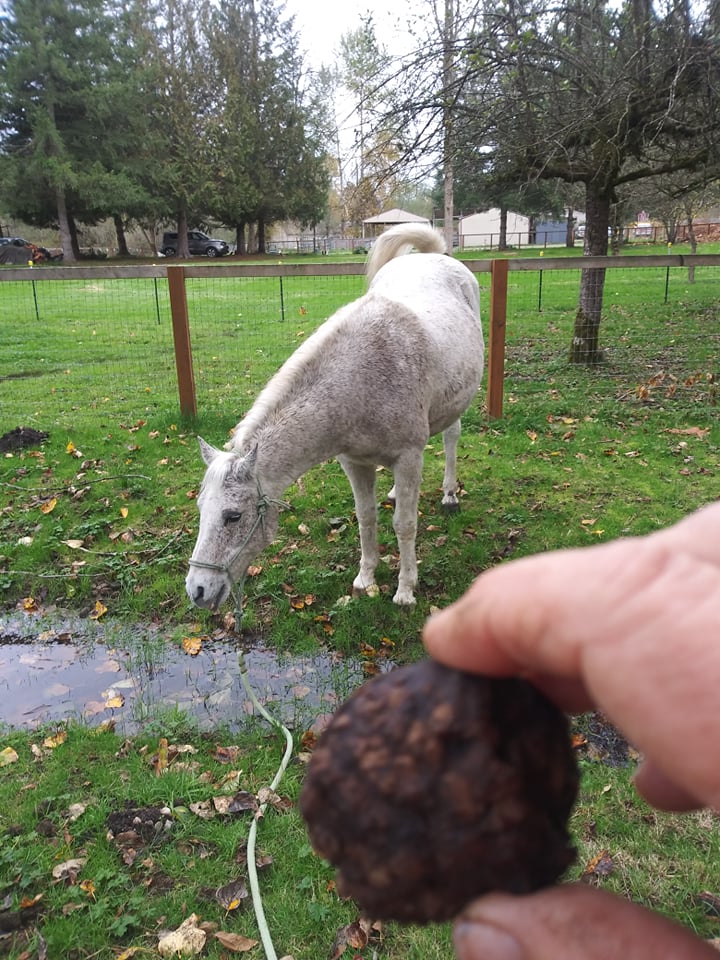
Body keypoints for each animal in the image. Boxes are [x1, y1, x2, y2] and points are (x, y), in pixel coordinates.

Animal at [186, 225, 484, 608]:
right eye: (200, 508)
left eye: (233, 516)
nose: (197, 590)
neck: (361, 379)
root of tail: (435, 256)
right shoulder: (354, 462)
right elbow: (366, 518)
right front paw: (365, 578)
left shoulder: (408, 456)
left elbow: (405, 524)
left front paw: (405, 590)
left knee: (450, 438)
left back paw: (449, 495)